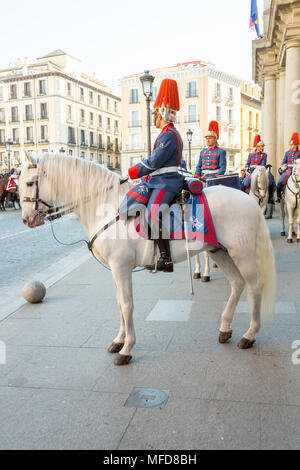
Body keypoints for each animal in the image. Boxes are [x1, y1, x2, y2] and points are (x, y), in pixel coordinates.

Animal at [19, 152, 276, 366]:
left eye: (30, 183)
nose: (26, 220)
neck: (107, 207)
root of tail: (249, 200)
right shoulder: (116, 270)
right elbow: (119, 304)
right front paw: (119, 341)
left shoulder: (121, 267)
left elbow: (127, 305)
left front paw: (127, 348)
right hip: (219, 251)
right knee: (237, 284)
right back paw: (225, 328)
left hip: (241, 253)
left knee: (255, 286)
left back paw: (250, 335)